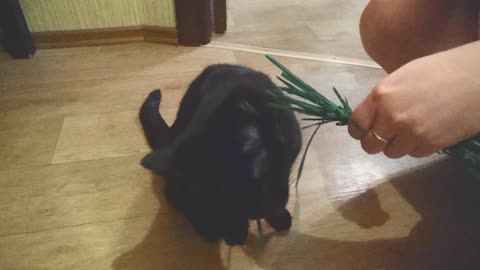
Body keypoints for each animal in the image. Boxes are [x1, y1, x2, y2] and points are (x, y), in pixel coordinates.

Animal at [139, 64, 302, 246]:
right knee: (176, 197)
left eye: (256, 181)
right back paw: (210, 229)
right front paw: (236, 231)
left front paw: (277, 216)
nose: (254, 215)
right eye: (219, 201)